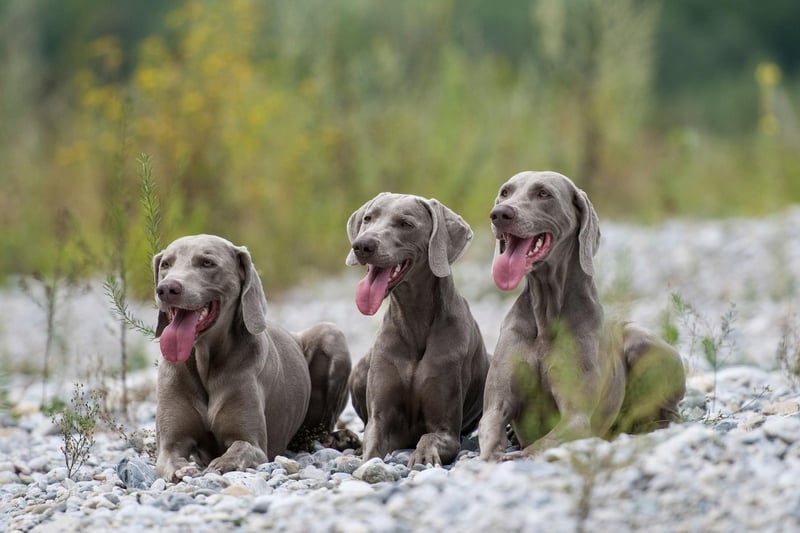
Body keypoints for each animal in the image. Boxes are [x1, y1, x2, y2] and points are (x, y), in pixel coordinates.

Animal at [155, 235, 354, 480]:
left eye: (207, 263)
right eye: (165, 264)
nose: (166, 288)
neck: (205, 362)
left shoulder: (254, 444)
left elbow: (240, 447)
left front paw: (221, 464)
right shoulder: (170, 444)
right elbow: (171, 458)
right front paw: (183, 469)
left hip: (332, 335)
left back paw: (342, 438)